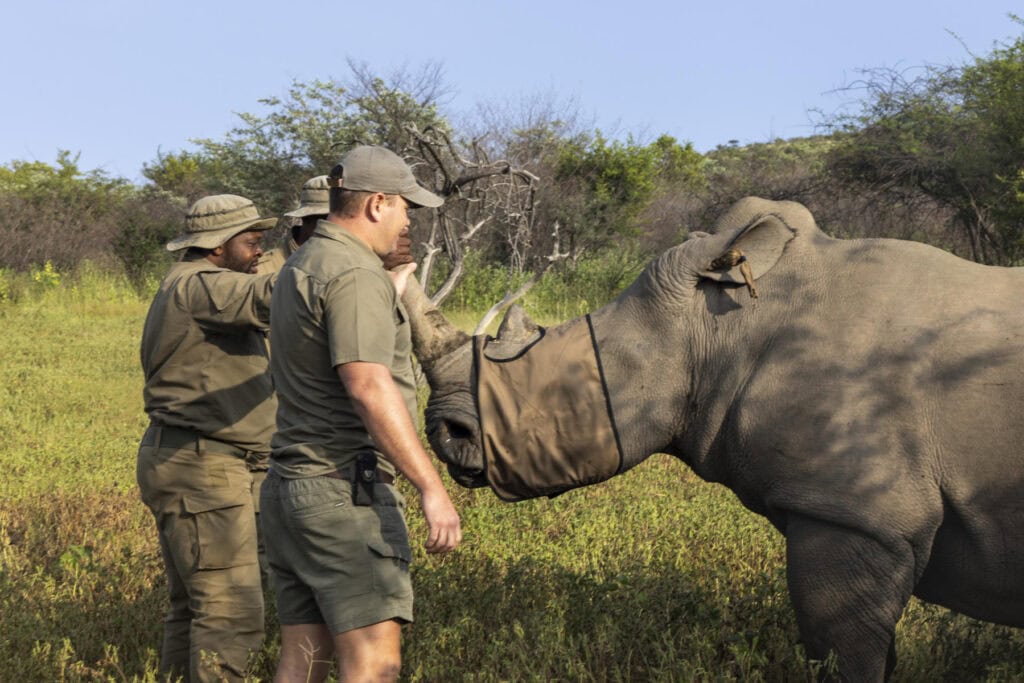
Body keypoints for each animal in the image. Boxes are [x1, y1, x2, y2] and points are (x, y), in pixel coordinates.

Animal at [402, 197, 1024, 681]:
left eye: (559, 379)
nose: (443, 430)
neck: (725, 327)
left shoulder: (854, 513)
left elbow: (844, 654)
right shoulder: (861, 516)